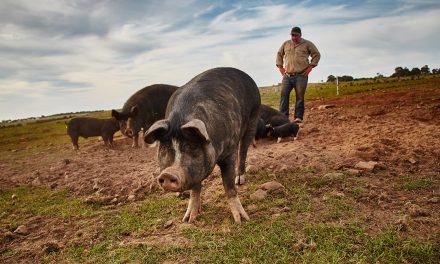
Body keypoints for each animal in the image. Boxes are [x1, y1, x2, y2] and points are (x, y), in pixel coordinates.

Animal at [144, 67, 262, 224]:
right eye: (165, 147)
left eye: (192, 146)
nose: (168, 173)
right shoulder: (195, 170)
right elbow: (195, 189)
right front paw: (188, 219)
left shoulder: (229, 152)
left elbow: (229, 185)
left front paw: (241, 220)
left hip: (253, 117)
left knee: (243, 150)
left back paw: (240, 180)